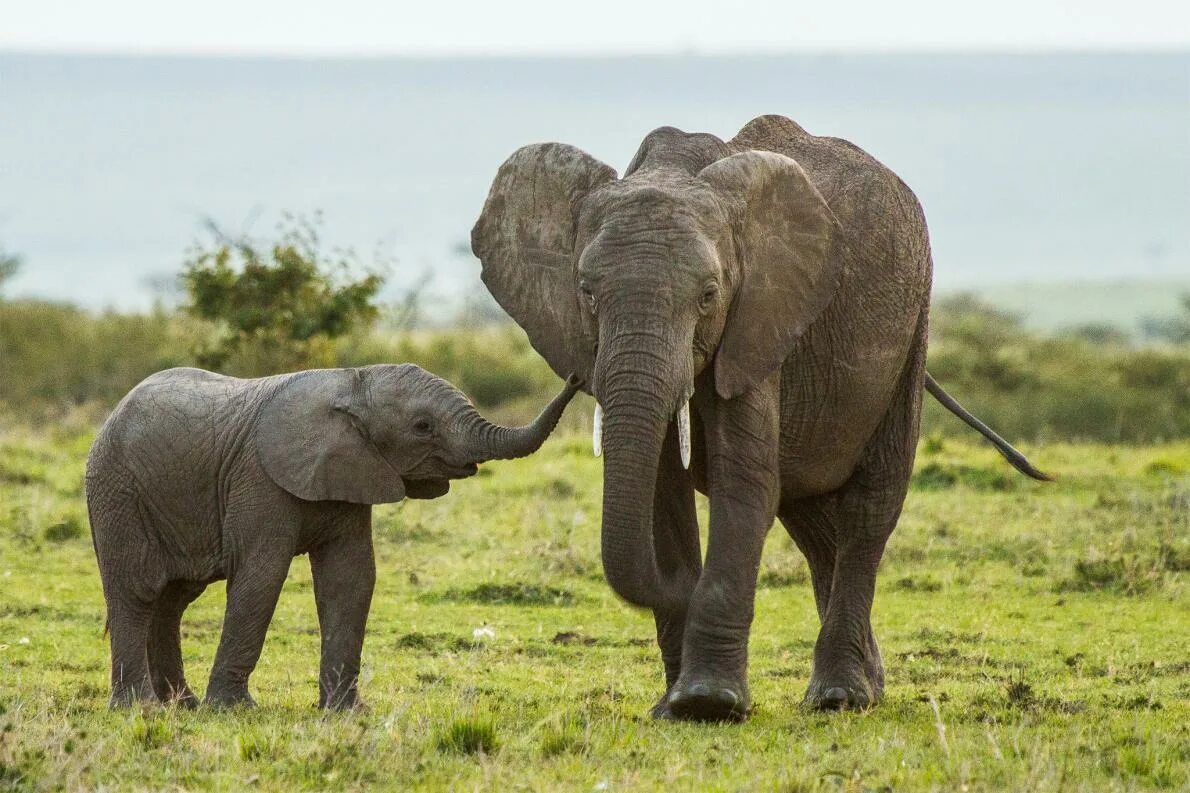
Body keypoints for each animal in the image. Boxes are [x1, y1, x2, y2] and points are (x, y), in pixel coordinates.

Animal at [83, 366, 575, 709]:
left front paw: (346, 714)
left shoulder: (352, 475)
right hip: (118, 491)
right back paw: (141, 709)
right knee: (138, 590)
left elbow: (350, 578)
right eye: (422, 427)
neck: (353, 384)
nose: (575, 374)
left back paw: (179, 706)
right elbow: (261, 577)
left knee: (172, 600)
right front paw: (233, 710)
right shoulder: (259, 479)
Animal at [468, 114, 1047, 719]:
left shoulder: (760, 319)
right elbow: (661, 495)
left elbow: (742, 482)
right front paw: (674, 706)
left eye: (708, 294)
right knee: (811, 519)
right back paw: (865, 685)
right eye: (585, 292)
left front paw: (709, 702)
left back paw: (840, 697)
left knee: (869, 508)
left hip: (912, 330)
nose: (683, 588)